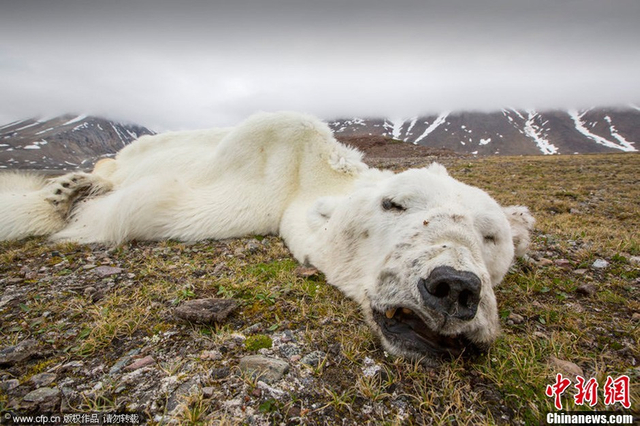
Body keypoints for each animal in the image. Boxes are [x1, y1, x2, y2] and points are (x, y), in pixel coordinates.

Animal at [0, 111, 534, 362]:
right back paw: (74, 183)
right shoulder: (256, 171)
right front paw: (63, 201)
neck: (308, 174)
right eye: (395, 204)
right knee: (113, 165)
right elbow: (146, 205)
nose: (454, 287)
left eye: (491, 236)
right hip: (134, 151)